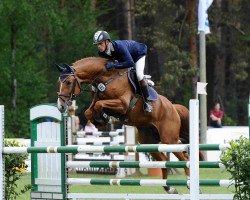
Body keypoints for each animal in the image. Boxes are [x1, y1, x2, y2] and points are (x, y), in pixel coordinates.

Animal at [57, 56, 201, 194]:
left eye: (68, 82)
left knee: (184, 157)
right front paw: (101, 120)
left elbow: (99, 105)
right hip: (148, 142)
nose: (61, 106)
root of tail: (173, 107)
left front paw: (104, 118)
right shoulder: (97, 101)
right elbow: (89, 111)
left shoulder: (122, 104)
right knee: (163, 160)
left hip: (169, 139)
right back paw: (169, 188)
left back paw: (192, 185)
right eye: (59, 83)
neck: (106, 77)